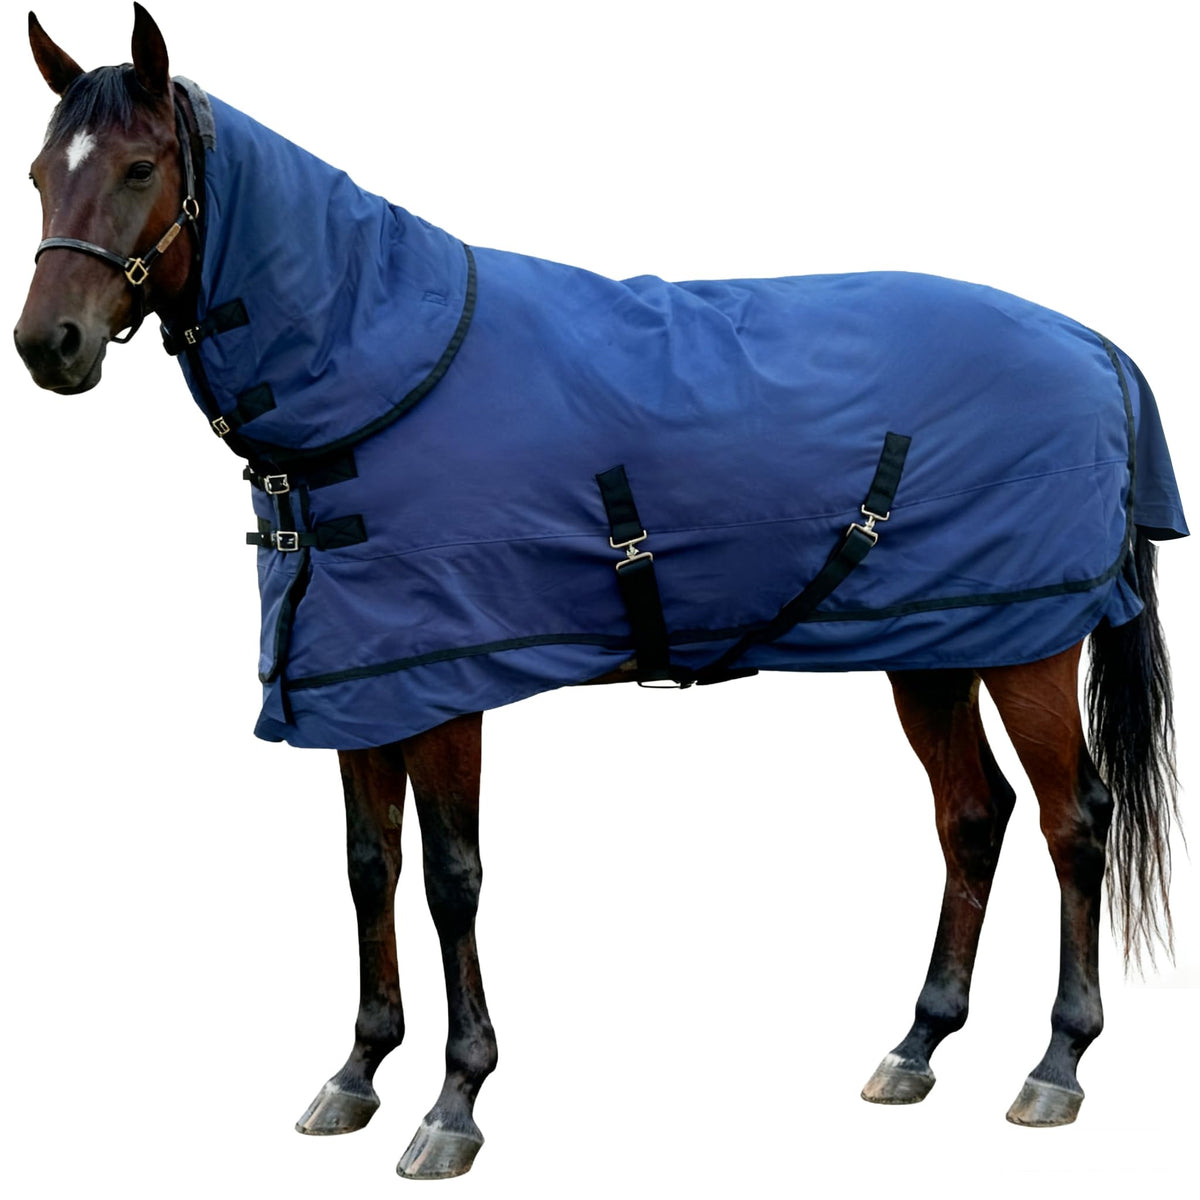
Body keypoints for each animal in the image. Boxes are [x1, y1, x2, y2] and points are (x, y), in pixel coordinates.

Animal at [14, 5, 1187, 1182]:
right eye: (34, 174)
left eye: (139, 167)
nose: (46, 345)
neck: (378, 366)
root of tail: (1094, 346)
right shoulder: (360, 683)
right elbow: (367, 867)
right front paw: (357, 1072)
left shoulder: (445, 682)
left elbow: (449, 877)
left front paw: (455, 1101)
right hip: (936, 643)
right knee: (972, 816)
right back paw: (917, 1045)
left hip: (1029, 646)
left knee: (1072, 820)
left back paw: (1056, 1064)